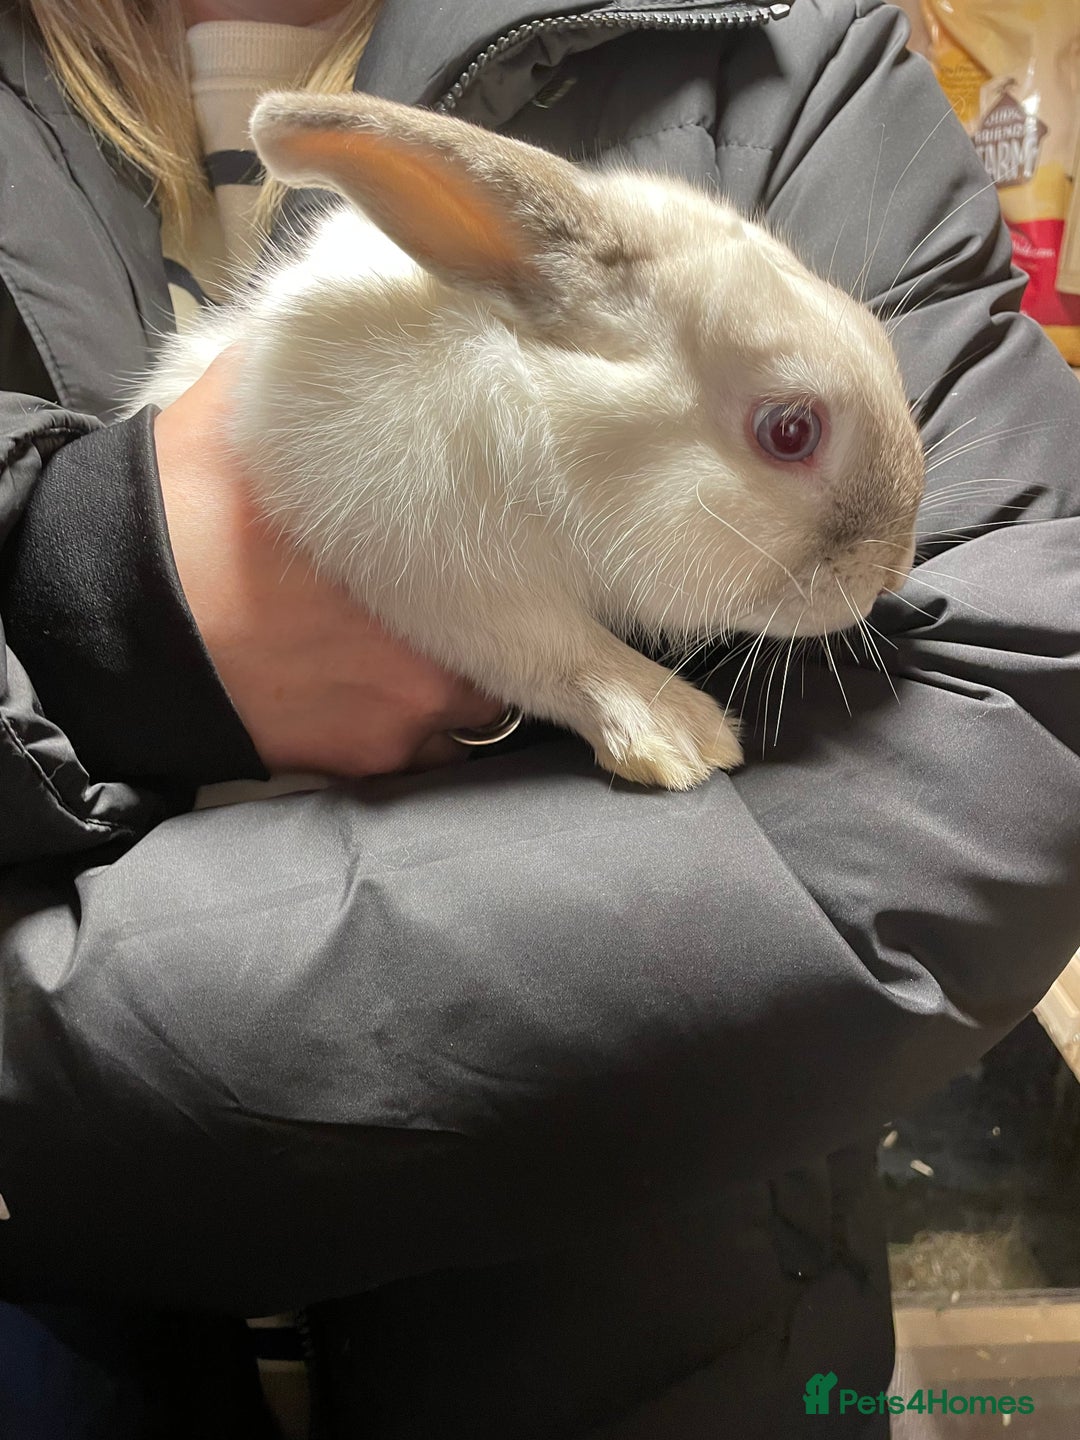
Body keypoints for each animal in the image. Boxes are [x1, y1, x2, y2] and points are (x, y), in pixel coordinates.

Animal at [135, 90, 925, 791]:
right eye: (791, 431)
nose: (891, 569)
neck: (538, 402)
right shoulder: (444, 572)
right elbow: (558, 655)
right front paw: (681, 737)